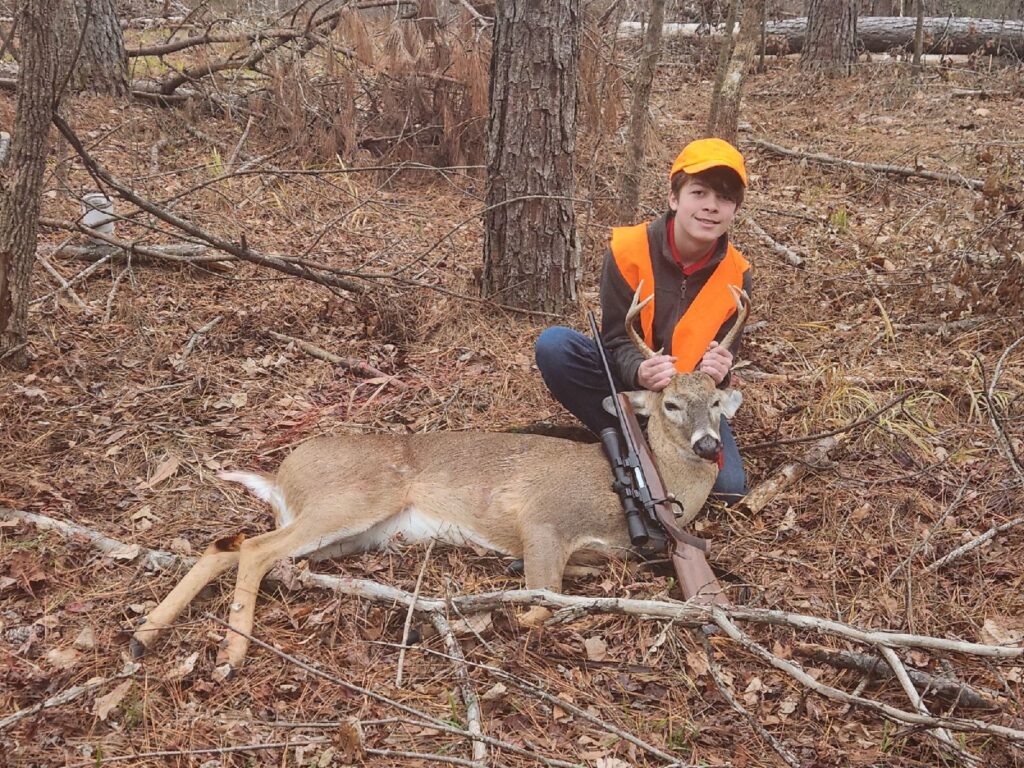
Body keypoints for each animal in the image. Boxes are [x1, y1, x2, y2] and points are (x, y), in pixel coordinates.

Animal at [132, 284, 749, 671]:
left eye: (718, 403)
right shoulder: (544, 519)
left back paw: (143, 638)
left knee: (229, 546)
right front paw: (479, 619)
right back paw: (227, 658)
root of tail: (282, 473)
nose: (709, 445)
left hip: (348, 532)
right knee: (255, 549)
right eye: (670, 404)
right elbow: (541, 605)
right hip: (353, 498)